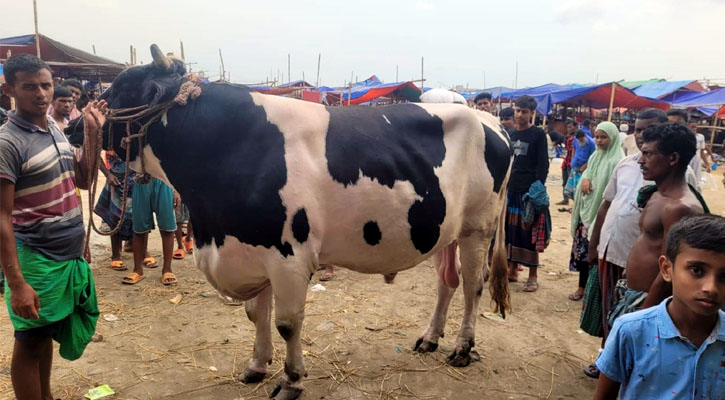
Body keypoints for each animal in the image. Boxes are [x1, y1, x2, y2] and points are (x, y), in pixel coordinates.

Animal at [99, 45, 512, 398]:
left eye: (120, 90)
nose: (87, 128)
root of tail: (486, 118)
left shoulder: (288, 256)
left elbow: (286, 322)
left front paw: (292, 380)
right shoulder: (252, 246)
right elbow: (255, 313)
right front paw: (256, 365)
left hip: (478, 227)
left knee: (473, 284)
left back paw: (462, 347)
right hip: (444, 229)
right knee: (447, 282)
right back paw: (430, 338)